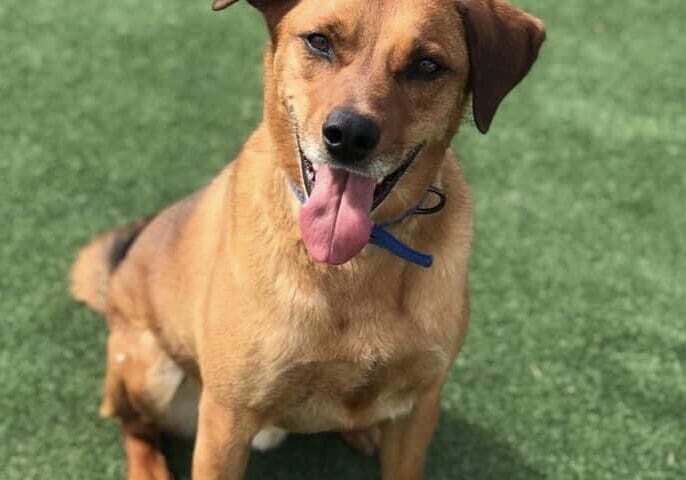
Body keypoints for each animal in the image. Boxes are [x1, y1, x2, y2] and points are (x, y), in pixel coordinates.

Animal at [70, 1, 544, 478]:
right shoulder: (225, 423)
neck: (356, 263)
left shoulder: (419, 409)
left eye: (427, 65)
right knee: (135, 425)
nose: (349, 135)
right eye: (320, 41)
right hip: (151, 369)